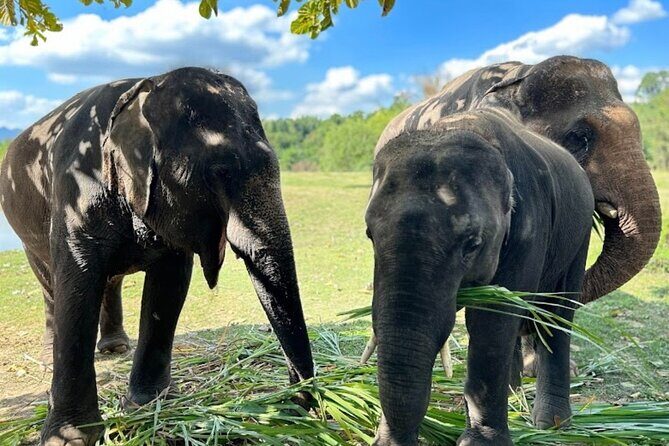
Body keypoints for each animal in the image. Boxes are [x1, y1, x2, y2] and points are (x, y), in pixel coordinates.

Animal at [0, 67, 314, 446]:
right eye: (219, 173)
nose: (296, 401)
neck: (145, 89)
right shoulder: (75, 189)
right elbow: (77, 284)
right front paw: (70, 438)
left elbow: (169, 284)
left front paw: (149, 405)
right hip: (25, 228)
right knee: (50, 283)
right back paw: (52, 351)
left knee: (110, 280)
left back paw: (115, 348)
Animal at [366, 107, 594, 446]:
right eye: (369, 234)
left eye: (472, 243)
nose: (392, 440)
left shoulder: (529, 228)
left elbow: (492, 321)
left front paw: (481, 442)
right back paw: (513, 395)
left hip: (579, 235)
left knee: (558, 314)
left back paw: (551, 424)